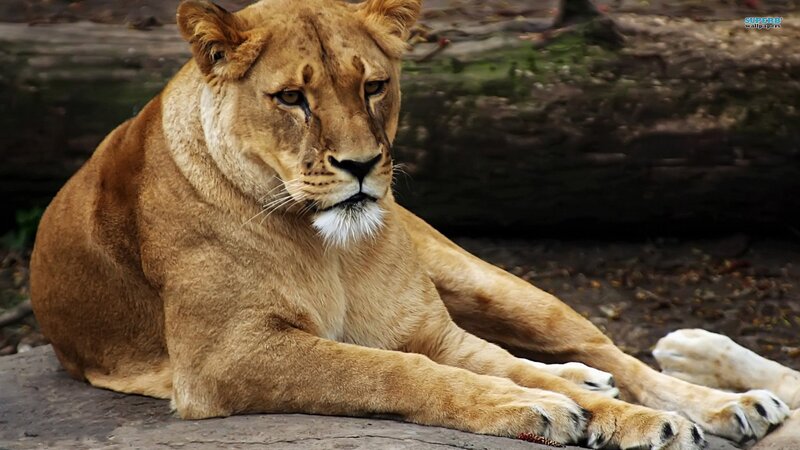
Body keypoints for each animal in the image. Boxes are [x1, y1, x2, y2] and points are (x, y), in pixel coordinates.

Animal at [29, 0, 789, 448]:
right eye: (292, 98)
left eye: (373, 85)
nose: (362, 165)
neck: (326, 247)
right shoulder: (226, 357)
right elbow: (396, 372)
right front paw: (545, 408)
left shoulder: (427, 329)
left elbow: (470, 364)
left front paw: (633, 417)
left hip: (487, 280)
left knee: (610, 351)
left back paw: (731, 404)